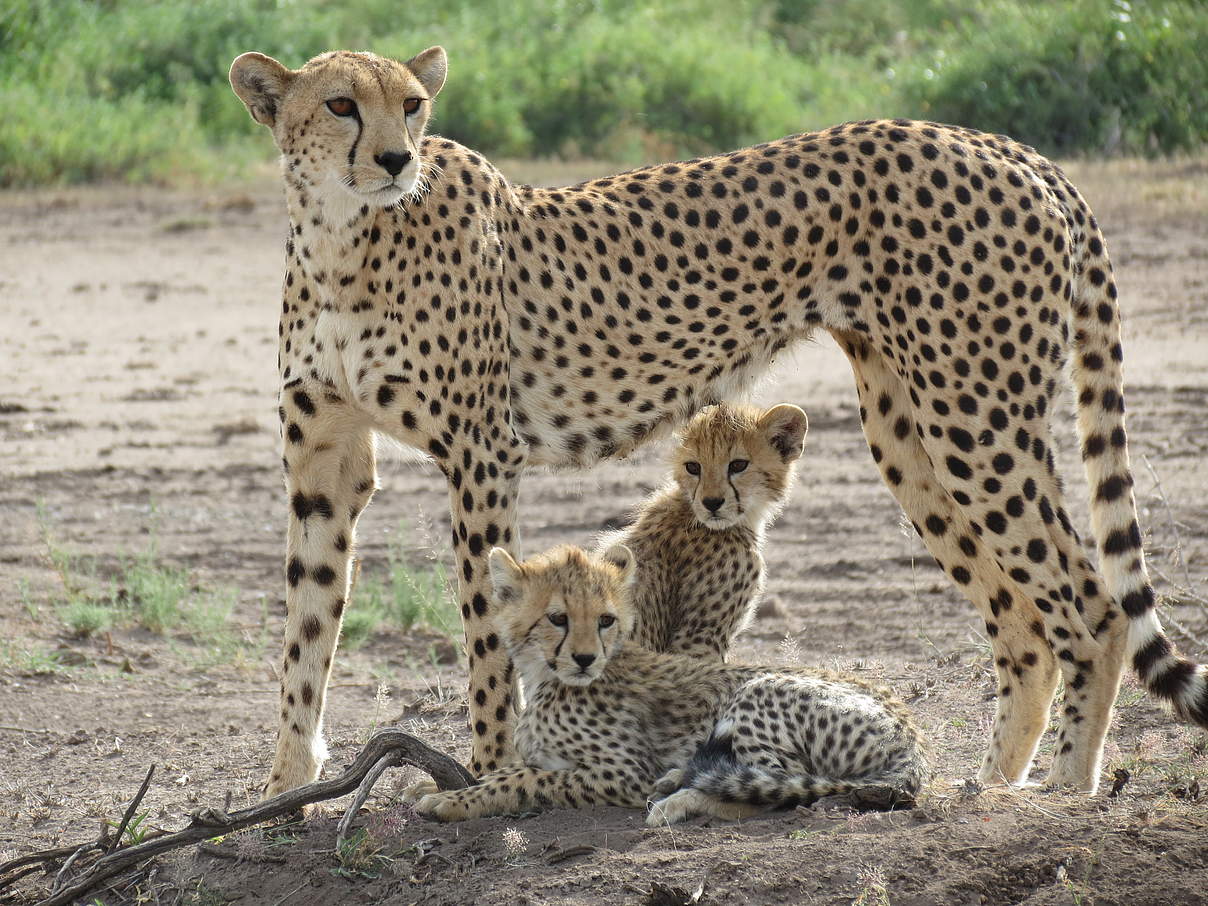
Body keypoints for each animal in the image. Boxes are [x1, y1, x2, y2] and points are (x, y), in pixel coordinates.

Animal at [228, 46, 1208, 797]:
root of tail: (1005, 145)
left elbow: (482, 634)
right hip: (912, 434)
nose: (398, 159)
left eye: (414, 104)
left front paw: (493, 768)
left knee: (1091, 608)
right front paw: (284, 792)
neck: (342, 239)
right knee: (1022, 626)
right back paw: (991, 785)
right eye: (342, 104)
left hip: (976, 415)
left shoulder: (481, 454)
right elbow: (304, 630)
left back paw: (1067, 789)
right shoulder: (324, 464)